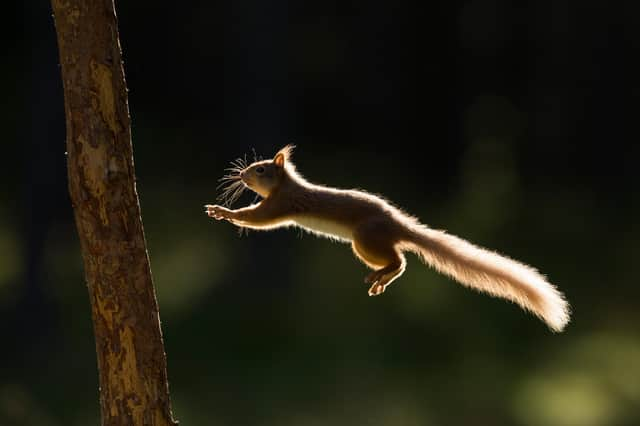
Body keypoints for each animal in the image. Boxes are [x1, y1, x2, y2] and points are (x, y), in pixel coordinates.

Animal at [205, 145, 568, 332]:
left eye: (261, 169)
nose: (241, 174)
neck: (285, 186)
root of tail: (399, 226)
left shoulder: (279, 206)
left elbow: (255, 219)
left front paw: (222, 212)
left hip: (364, 240)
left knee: (400, 261)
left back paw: (380, 276)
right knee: (399, 261)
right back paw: (379, 279)